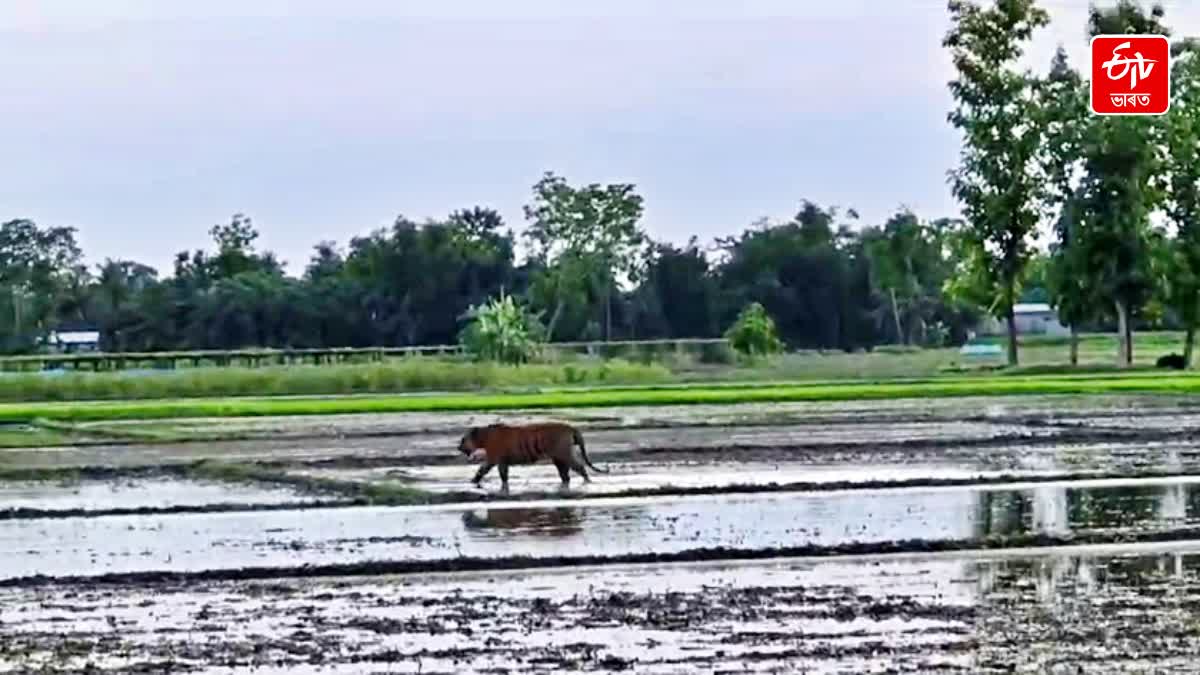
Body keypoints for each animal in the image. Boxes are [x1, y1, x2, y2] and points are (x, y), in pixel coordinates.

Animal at [456, 422, 609, 492]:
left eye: (463, 440)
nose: (458, 447)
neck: (484, 437)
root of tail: (571, 427)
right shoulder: (496, 460)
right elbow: (483, 471)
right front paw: (473, 481)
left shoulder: (497, 459)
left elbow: (498, 474)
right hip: (559, 458)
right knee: (565, 475)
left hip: (564, 454)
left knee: (579, 467)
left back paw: (587, 482)